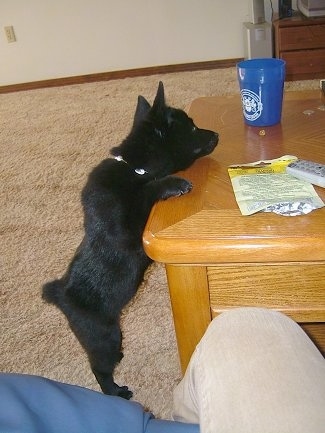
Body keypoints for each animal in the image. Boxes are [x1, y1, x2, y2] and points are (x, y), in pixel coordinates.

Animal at [42, 81, 218, 398]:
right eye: (192, 127)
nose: (217, 134)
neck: (135, 168)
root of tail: (61, 296)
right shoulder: (126, 229)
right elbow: (148, 190)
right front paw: (172, 184)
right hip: (105, 336)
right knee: (99, 368)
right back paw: (117, 392)